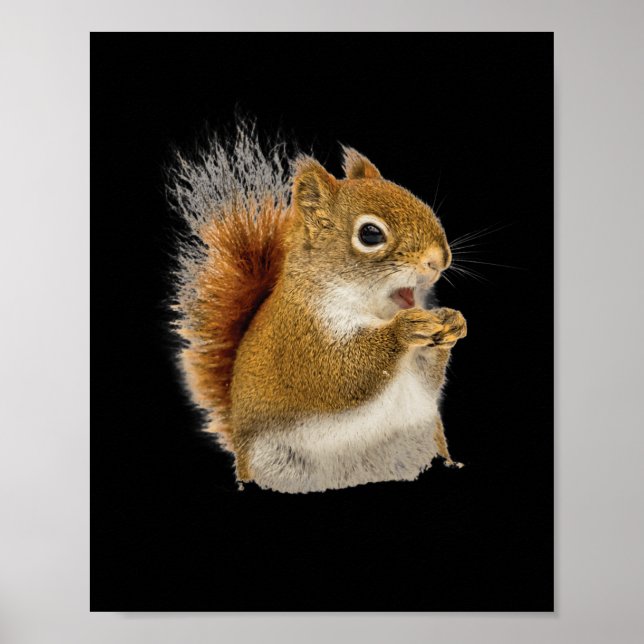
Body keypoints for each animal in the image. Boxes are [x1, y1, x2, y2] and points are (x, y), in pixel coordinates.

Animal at [169, 123, 467, 493]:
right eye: (370, 234)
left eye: (415, 199)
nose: (439, 260)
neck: (371, 310)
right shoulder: (303, 340)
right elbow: (342, 372)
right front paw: (404, 331)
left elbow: (426, 378)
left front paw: (453, 322)